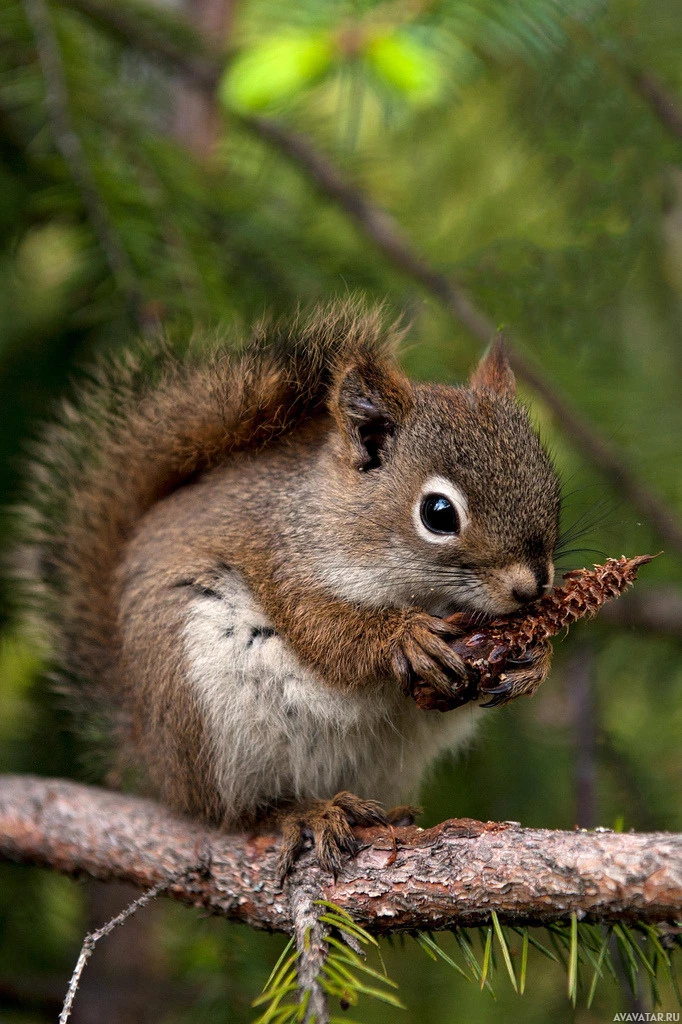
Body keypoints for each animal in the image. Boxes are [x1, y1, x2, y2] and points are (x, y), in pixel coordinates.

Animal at [18, 299, 561, 876]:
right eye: (438, 513)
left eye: (549, 482)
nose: (532, 588)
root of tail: (150, 748)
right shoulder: (283, 564)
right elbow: (325, 634)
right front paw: (404, 637)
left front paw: (535, 659)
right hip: (206, 715)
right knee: (234, 813)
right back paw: (307, 812)